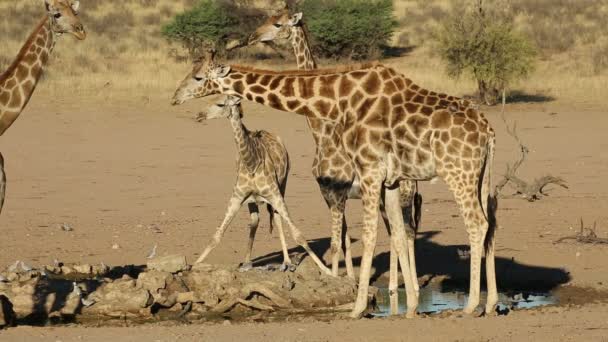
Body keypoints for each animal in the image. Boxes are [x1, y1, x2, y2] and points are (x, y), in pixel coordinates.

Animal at [194, 94, 330, 276]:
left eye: (220, 104)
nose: (199, 115)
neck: (252, 162)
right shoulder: (237, 198)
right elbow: (217, 235)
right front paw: (194, 264)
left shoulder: (275, 195)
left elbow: (298, 235)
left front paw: (327, 270)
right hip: (252, 200)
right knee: (255, 221)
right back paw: (247, 262)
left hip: (283, 186)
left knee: (277, 219)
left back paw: (286, 262)